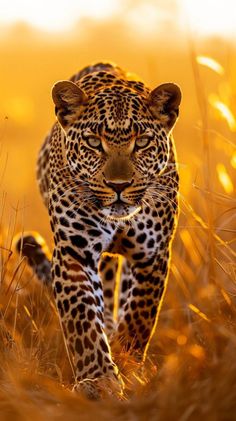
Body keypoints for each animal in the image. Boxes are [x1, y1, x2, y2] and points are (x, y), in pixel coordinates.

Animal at [15, 61, 182, 398]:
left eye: (142, 142)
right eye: (94, 142)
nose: (118, 186)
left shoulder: (153, 254)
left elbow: (140, 316)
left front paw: (127, 364)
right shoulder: (75, 254)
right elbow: (82, 319)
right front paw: (99, 380)